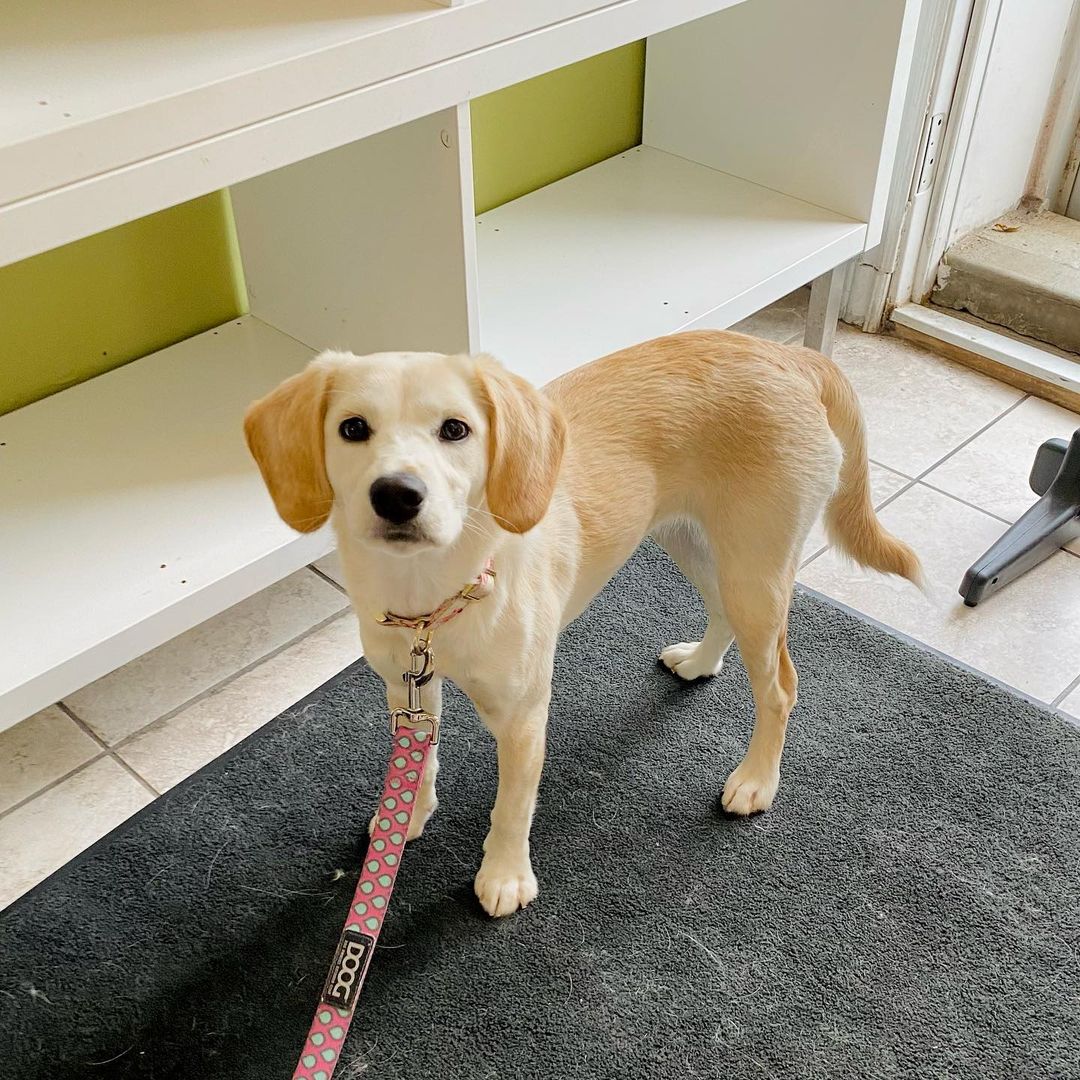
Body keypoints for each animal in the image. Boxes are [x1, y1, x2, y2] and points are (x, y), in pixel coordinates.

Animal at [245, 332, 920, 915]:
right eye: (352, 428)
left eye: (455, 430)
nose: (396, 495)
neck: (435, 598)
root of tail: (788, 355)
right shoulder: (406, 685)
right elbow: (421, 760)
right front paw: (405, 818)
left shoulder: (523, 718)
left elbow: (512, 807)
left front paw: (504, 877)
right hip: (694, 544)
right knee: (722, 613)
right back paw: (700, 663)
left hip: (755, 572)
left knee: (780, 687)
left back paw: (755, 781)